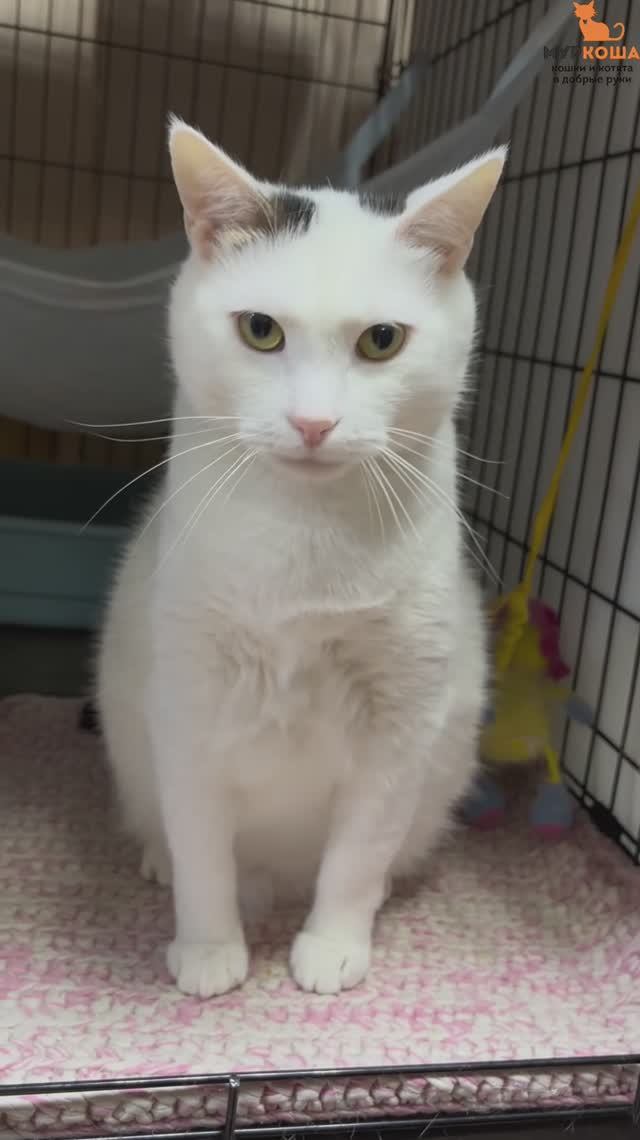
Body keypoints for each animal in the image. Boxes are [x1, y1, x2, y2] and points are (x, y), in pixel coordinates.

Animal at [96, 117, 505, 999]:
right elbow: (203, 852)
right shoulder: (188, 703)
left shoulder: (401, 723)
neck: (305, 540)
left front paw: (333, 945)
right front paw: (210, 949)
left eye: (382, 341)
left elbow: (356, 854)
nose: (314, 423)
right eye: (261, 330)